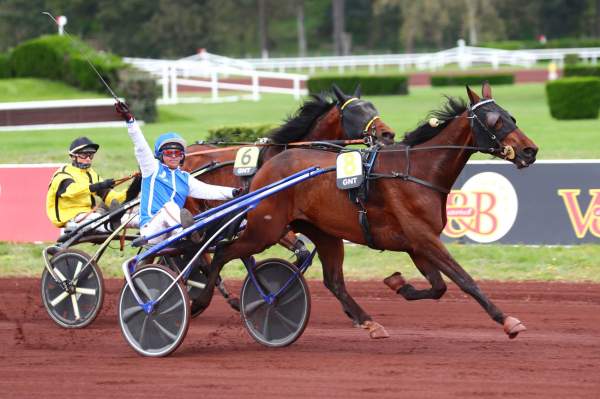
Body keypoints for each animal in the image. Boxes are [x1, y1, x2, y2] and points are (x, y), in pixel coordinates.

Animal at [198, 83, 540, 340]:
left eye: (512, 117)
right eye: (494, 121)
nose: (530, 150)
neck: (417, 171)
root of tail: (267, 168)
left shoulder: (416, 244)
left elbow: (439, 286)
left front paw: (398, 283)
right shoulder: (424, 238)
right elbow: (464, 279)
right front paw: (507, 320)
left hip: (324, 233)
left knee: (334, 281)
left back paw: (368, 321)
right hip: (265, 229)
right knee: (223, 252)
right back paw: (205, 299)